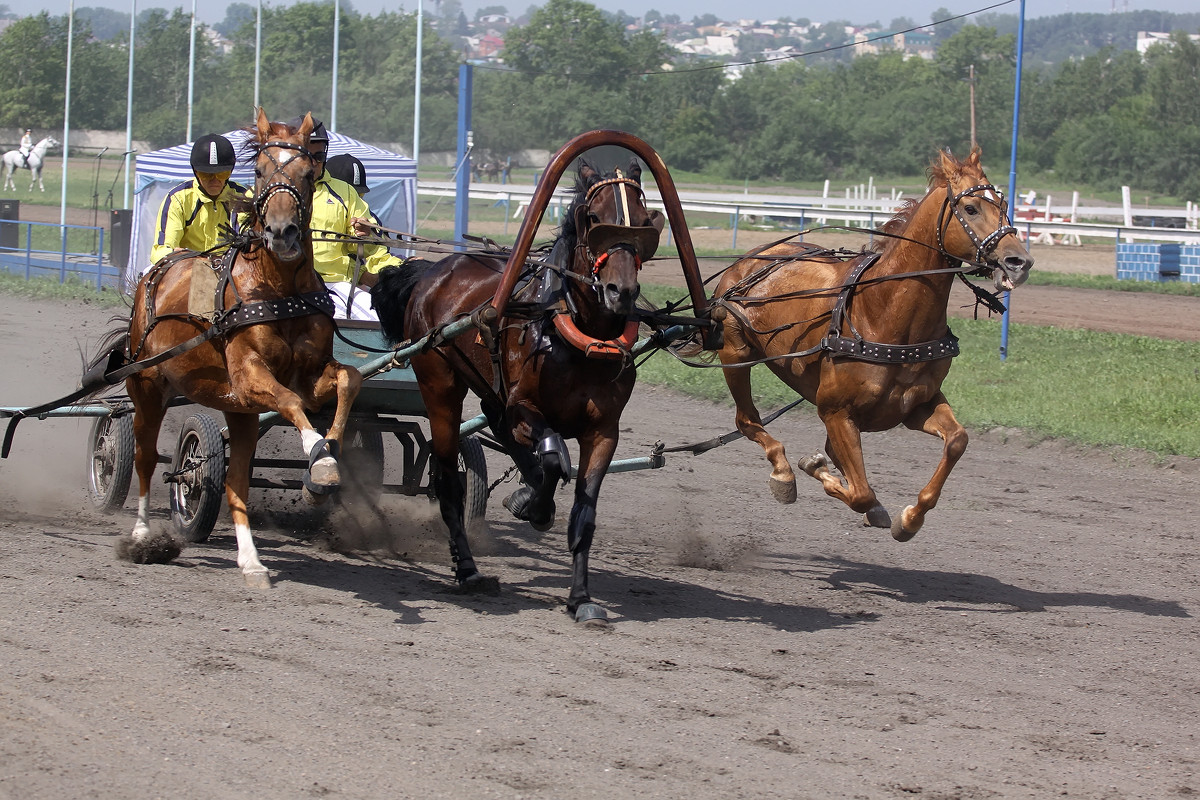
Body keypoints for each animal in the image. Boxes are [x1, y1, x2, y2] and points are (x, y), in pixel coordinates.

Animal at [116, 110, 360, 587]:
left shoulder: (306, 377)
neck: (278, 289)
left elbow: (348, 379)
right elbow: (290, 402)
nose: (282, 233)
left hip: (241, 413)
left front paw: (324, 462)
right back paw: (141, 535)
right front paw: (318, 456)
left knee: (235, 483)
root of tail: (157, 271)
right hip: (148, 387)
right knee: (144, 457)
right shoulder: (250, 376)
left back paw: (250, 560)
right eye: (261, 171)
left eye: (308, 173)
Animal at [374, 160, 667, 623]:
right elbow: (552, 456)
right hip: (440, 383)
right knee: (450, 476)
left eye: (642, 223)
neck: (575, 335)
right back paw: (468, 569)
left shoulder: (604, 430)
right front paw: (535, 502)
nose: (621, 292)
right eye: (594, 220)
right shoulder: (525, 407)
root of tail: (431, 272)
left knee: (495, 422)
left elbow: (584, 510)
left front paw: (581, 598)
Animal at [710, 146, 1032, 542]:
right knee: (747, 420)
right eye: (971, 208)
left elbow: (957, 440)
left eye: (1003, 203)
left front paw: (910, 518)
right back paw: (783, 471)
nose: (1019, 261)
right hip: (735, 353)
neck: (885, 313)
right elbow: (861, 492)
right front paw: (823, 475)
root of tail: (748, 262)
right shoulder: (835, 412)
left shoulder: (915, 406)